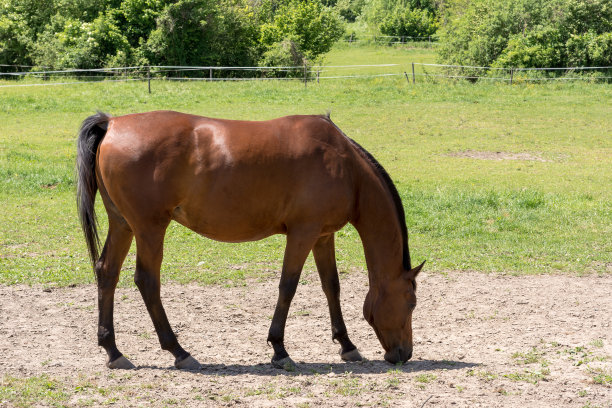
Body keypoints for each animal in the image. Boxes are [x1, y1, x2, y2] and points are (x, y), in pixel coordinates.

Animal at [76, 111, 424, 370]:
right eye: (411, 302)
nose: (404, 354)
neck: (345, 165)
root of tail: (112, 123)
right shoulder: (303, 232)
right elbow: (288, 286)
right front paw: (279, 350)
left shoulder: (323, 235)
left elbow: (331, 287)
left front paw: (347, 345)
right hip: (150, 228)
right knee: (147, 280)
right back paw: (179, 352)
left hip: (123, 225)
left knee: (107, 272)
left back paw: (113, 351)